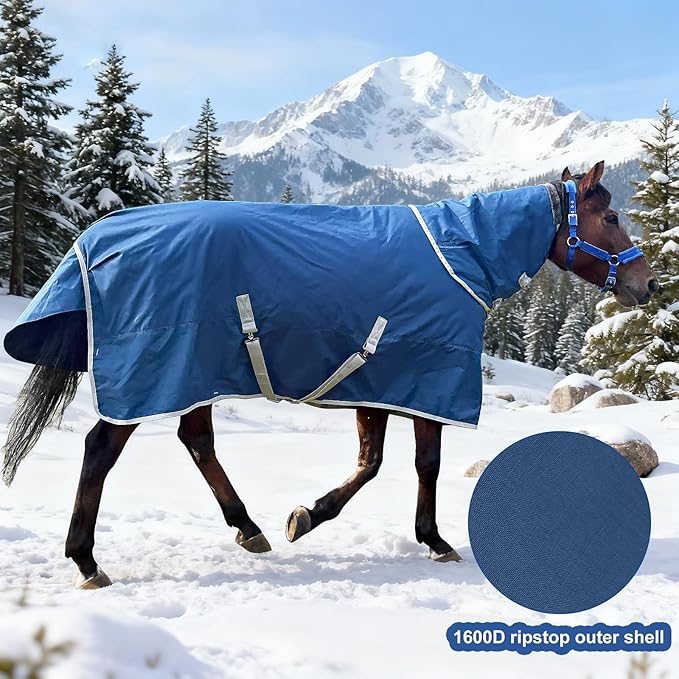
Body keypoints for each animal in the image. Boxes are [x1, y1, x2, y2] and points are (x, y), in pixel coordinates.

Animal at [1, 161, 657, 589]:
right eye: (611, 215)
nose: (646, 284)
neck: (463, 254)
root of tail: (99, 235)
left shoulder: (380, 384)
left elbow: (372, 464)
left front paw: (306, 517)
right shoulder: (419, 380)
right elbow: (418, 464)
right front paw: (432, 540)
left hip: (196, 372)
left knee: (197, 440)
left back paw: (248, 528)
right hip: (158, 371)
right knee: (101, 449)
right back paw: (86, 560)